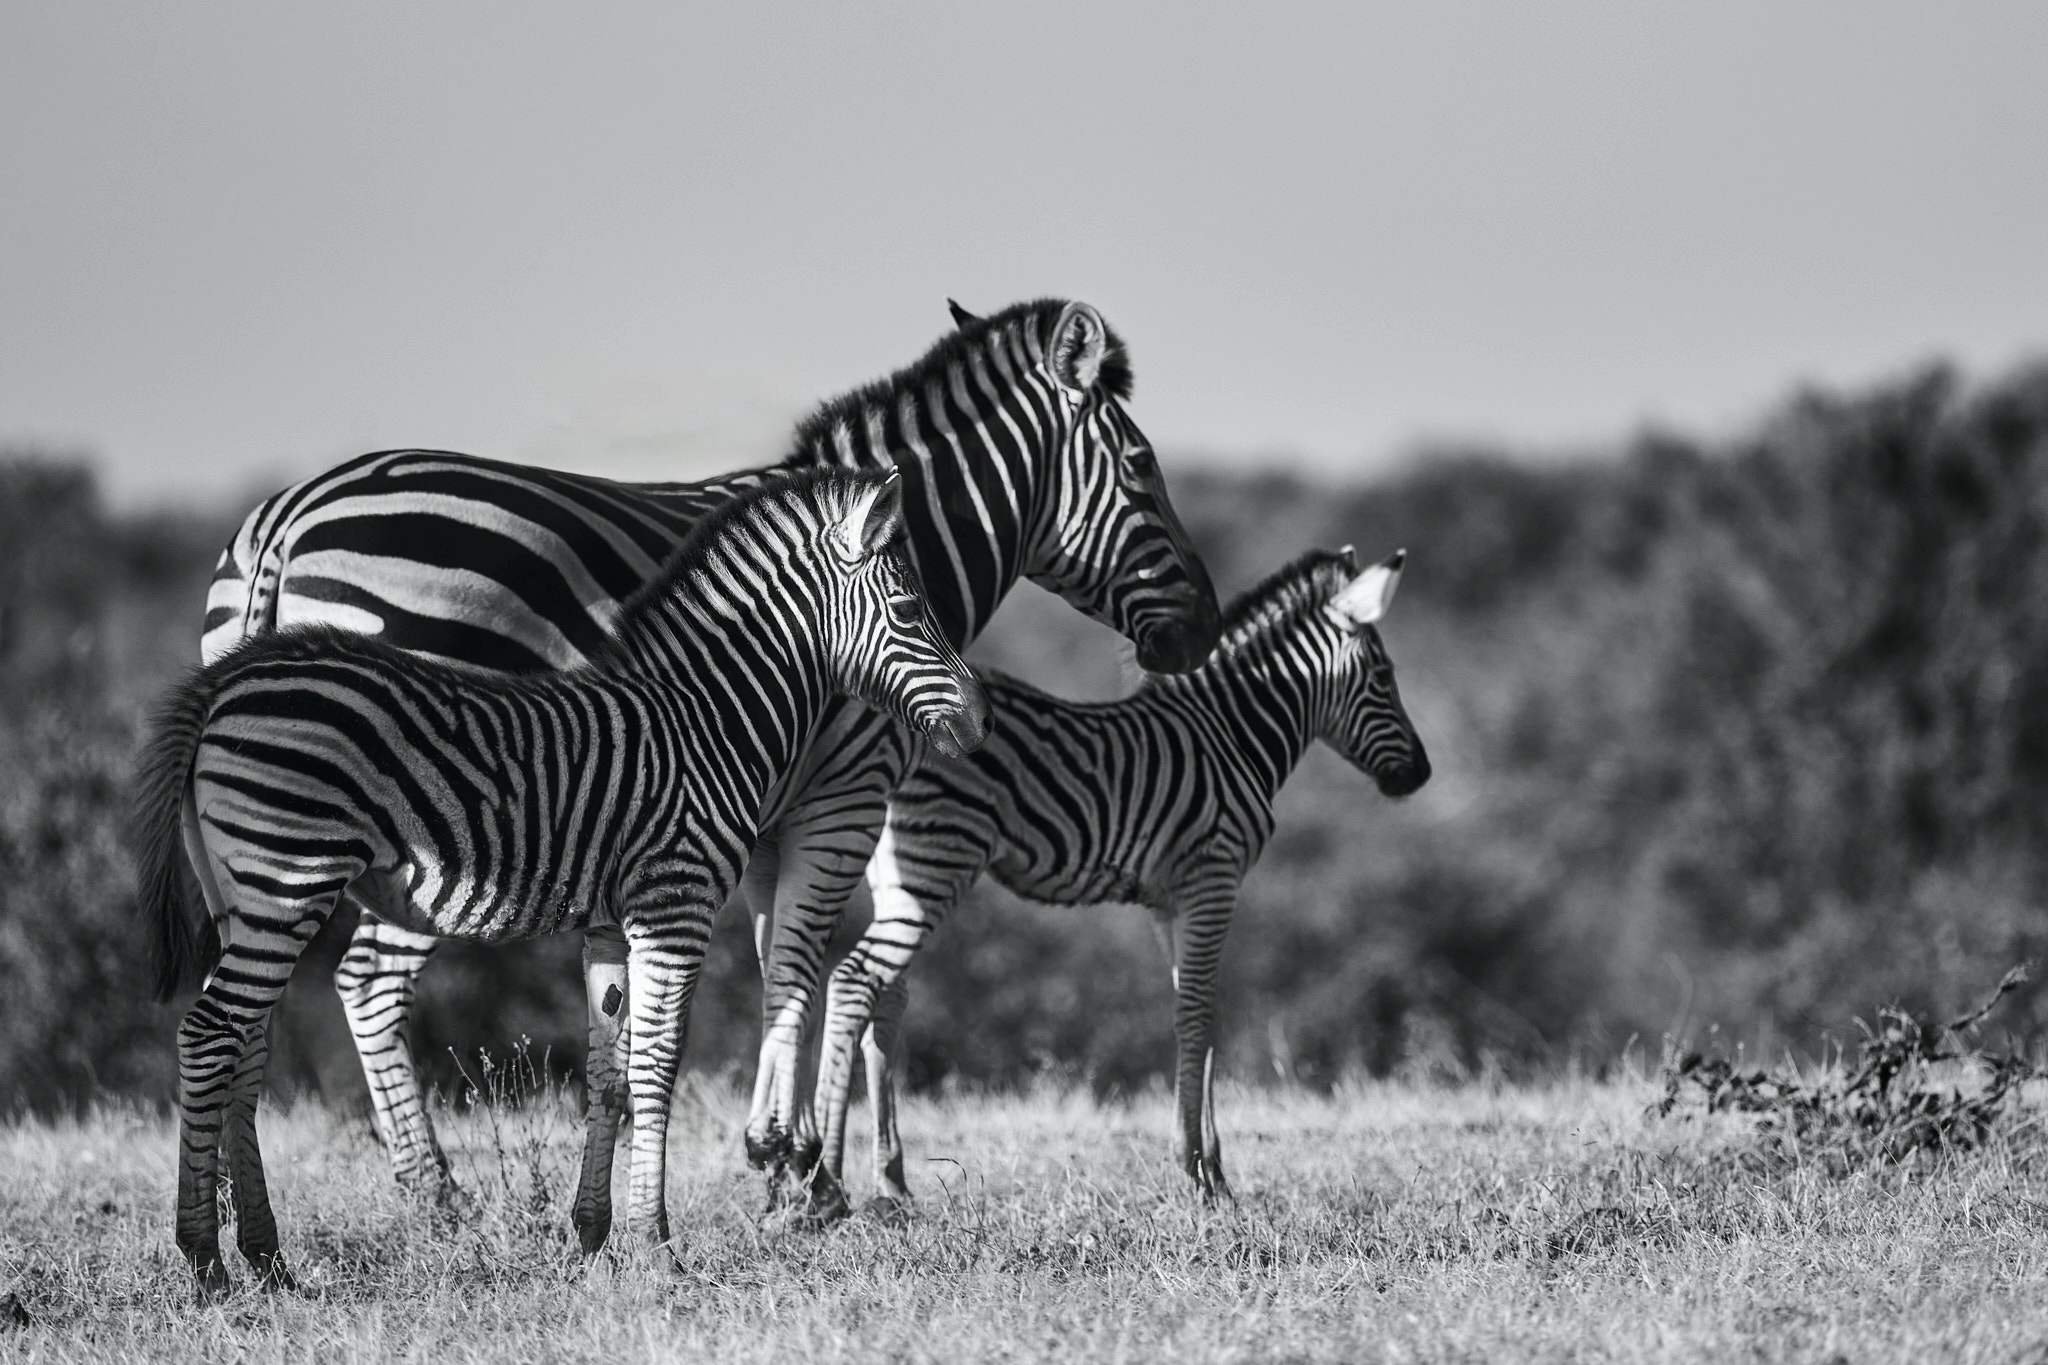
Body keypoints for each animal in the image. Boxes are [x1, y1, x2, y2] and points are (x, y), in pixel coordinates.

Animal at [134, 467, 989, 1296]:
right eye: (910, 608)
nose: (976, 723)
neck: (707, 716)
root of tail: (222, 682)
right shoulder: (675, 901)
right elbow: (657, 1065)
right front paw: (658, 1247)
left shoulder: (611, 923)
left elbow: (609, 1072)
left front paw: (593, 1234)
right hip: (288, 876)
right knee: (210, 1035)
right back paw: (206, 1259)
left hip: (244, 895)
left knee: (244, 1046)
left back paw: (265, 1258)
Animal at [194, 297, 1221, 1217]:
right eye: (1142, 465)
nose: (1203, 630)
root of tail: (286, 518)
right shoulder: (844, 793)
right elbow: (803, 959)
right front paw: (800, 1166)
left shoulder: (765, 810)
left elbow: (774, 960)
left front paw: (783, 1157)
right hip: (421, 819)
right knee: (367, 980)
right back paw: (434, 1194)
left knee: (252, 1003)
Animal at [810, 546, 1430, 1203]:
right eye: (1384, 677)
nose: (1420, 774)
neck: (1232, 733)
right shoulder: (1214, 876)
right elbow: (1197, 1012)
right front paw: (1197, 1169)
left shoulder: (1170, 899)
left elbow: (1197, 1011)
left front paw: (1212, 1167)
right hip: (935, 862)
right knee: (854, 981)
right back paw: (827, 1173)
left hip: (898, 877)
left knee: (886, 1000)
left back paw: (891, 1179)